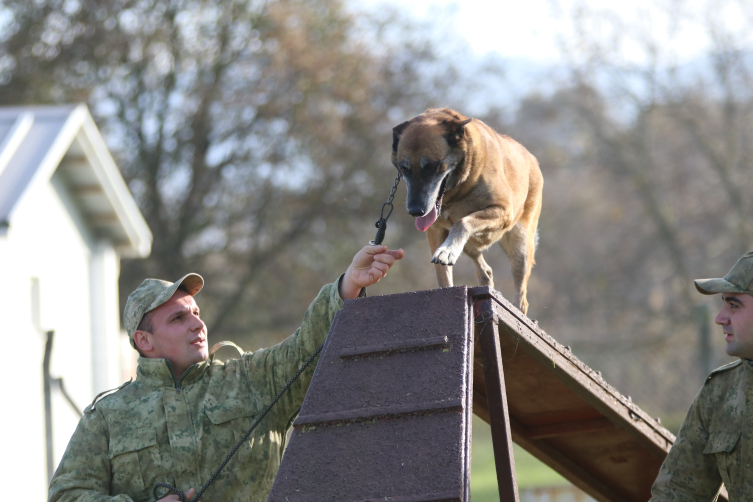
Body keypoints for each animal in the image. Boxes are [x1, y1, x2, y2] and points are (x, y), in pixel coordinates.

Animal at [390, 108, 544, 314]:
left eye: (431, 166)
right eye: (404, 168)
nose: (416, 211)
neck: (458, 189)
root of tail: (532, 160)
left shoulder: (502, 211)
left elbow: (462, 222)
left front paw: (447, 251)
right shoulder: (435, 230)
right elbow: (443, 274)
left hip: (520, 244)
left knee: (521, 295)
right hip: (473, 244)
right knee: (485, 269)